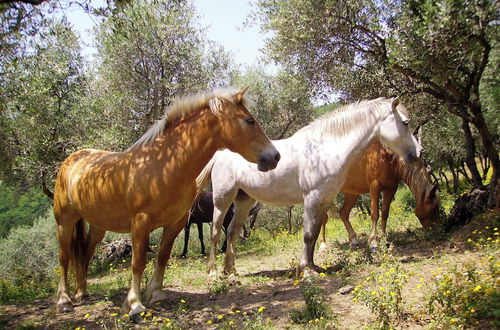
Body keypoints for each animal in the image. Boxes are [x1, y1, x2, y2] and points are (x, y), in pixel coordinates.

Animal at [198, 97, 422, 276]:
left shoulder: (324, 200)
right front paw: (305, 271)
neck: (325, 150)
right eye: (405, 123)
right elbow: (307, 235)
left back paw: (230, 270)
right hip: (223, 198)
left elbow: (314, 235)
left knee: (232, 232)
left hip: (244, 200)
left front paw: (313, 266)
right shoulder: (312, 198)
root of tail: (220, 152)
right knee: (216, 232)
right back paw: (213, 272)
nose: (418, 152)